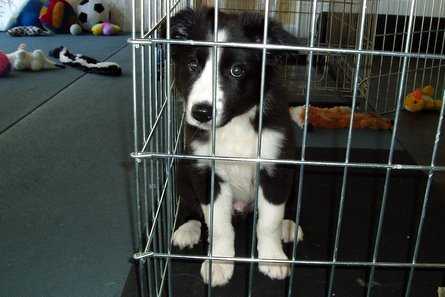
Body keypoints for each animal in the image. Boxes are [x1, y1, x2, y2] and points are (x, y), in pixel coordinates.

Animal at [165, 6, 304, 284]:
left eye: (237, 71)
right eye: (192, 65)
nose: (201, 112)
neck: (235, 124)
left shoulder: (276, 167)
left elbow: (269, 221)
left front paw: (272, 258)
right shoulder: (205, 170)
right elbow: (218, 225)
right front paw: (219, 262)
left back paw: (289, 225)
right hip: (184, 171)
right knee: (190, 205)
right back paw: (188, 228)